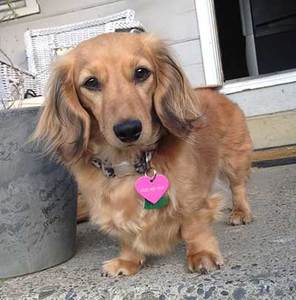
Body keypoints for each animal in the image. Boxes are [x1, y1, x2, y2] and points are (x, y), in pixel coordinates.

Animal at [34, 32, 252, 276]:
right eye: (91, 82)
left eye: (141, 72)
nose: (128, 130)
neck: (128, 163)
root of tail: (215, 92)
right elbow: (127, 236)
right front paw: (127, 261)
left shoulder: (191, 199)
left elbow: (194, 226)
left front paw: (201, 253)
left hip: (234, 160)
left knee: (238, 187)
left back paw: (240, 212)